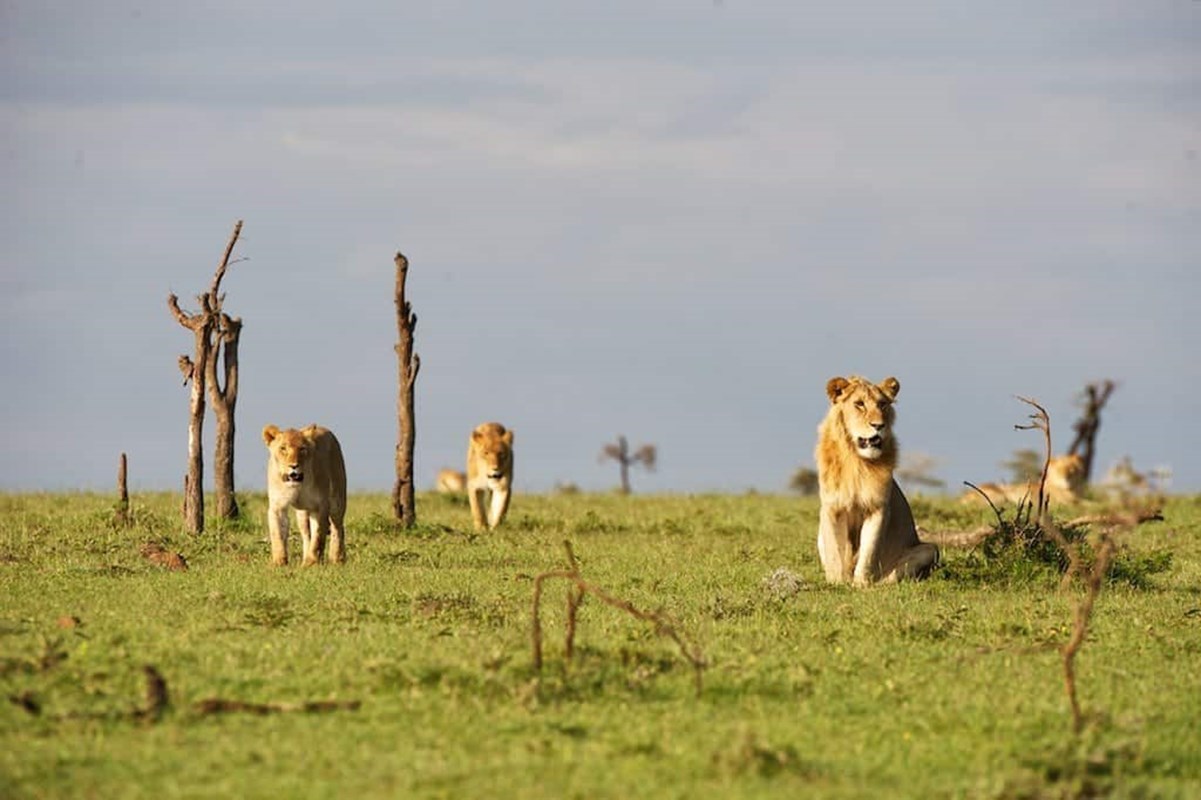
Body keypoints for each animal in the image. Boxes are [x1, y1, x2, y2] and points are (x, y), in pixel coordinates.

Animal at [258, 420, 343, 564]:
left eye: (302, 449)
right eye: (283, 448)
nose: (294, 466)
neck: (296, 486)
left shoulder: (320, 506)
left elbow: (318, 536)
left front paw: (312, 563)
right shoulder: (277, 506)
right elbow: (277, 534)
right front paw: (279, 561)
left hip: (337, 499)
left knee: (338, 528)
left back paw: (338, 559)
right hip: (302, 514)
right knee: (306, 534)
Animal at [811, 377, 941, 583]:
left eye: (882, 404)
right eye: (859, 404)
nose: (879, 425)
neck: (856, 460)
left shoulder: (878, 508)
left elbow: (869, 552)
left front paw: (860, 584)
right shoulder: (832, 508)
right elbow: (834, 551)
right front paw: (837, 582)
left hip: (931, 549)